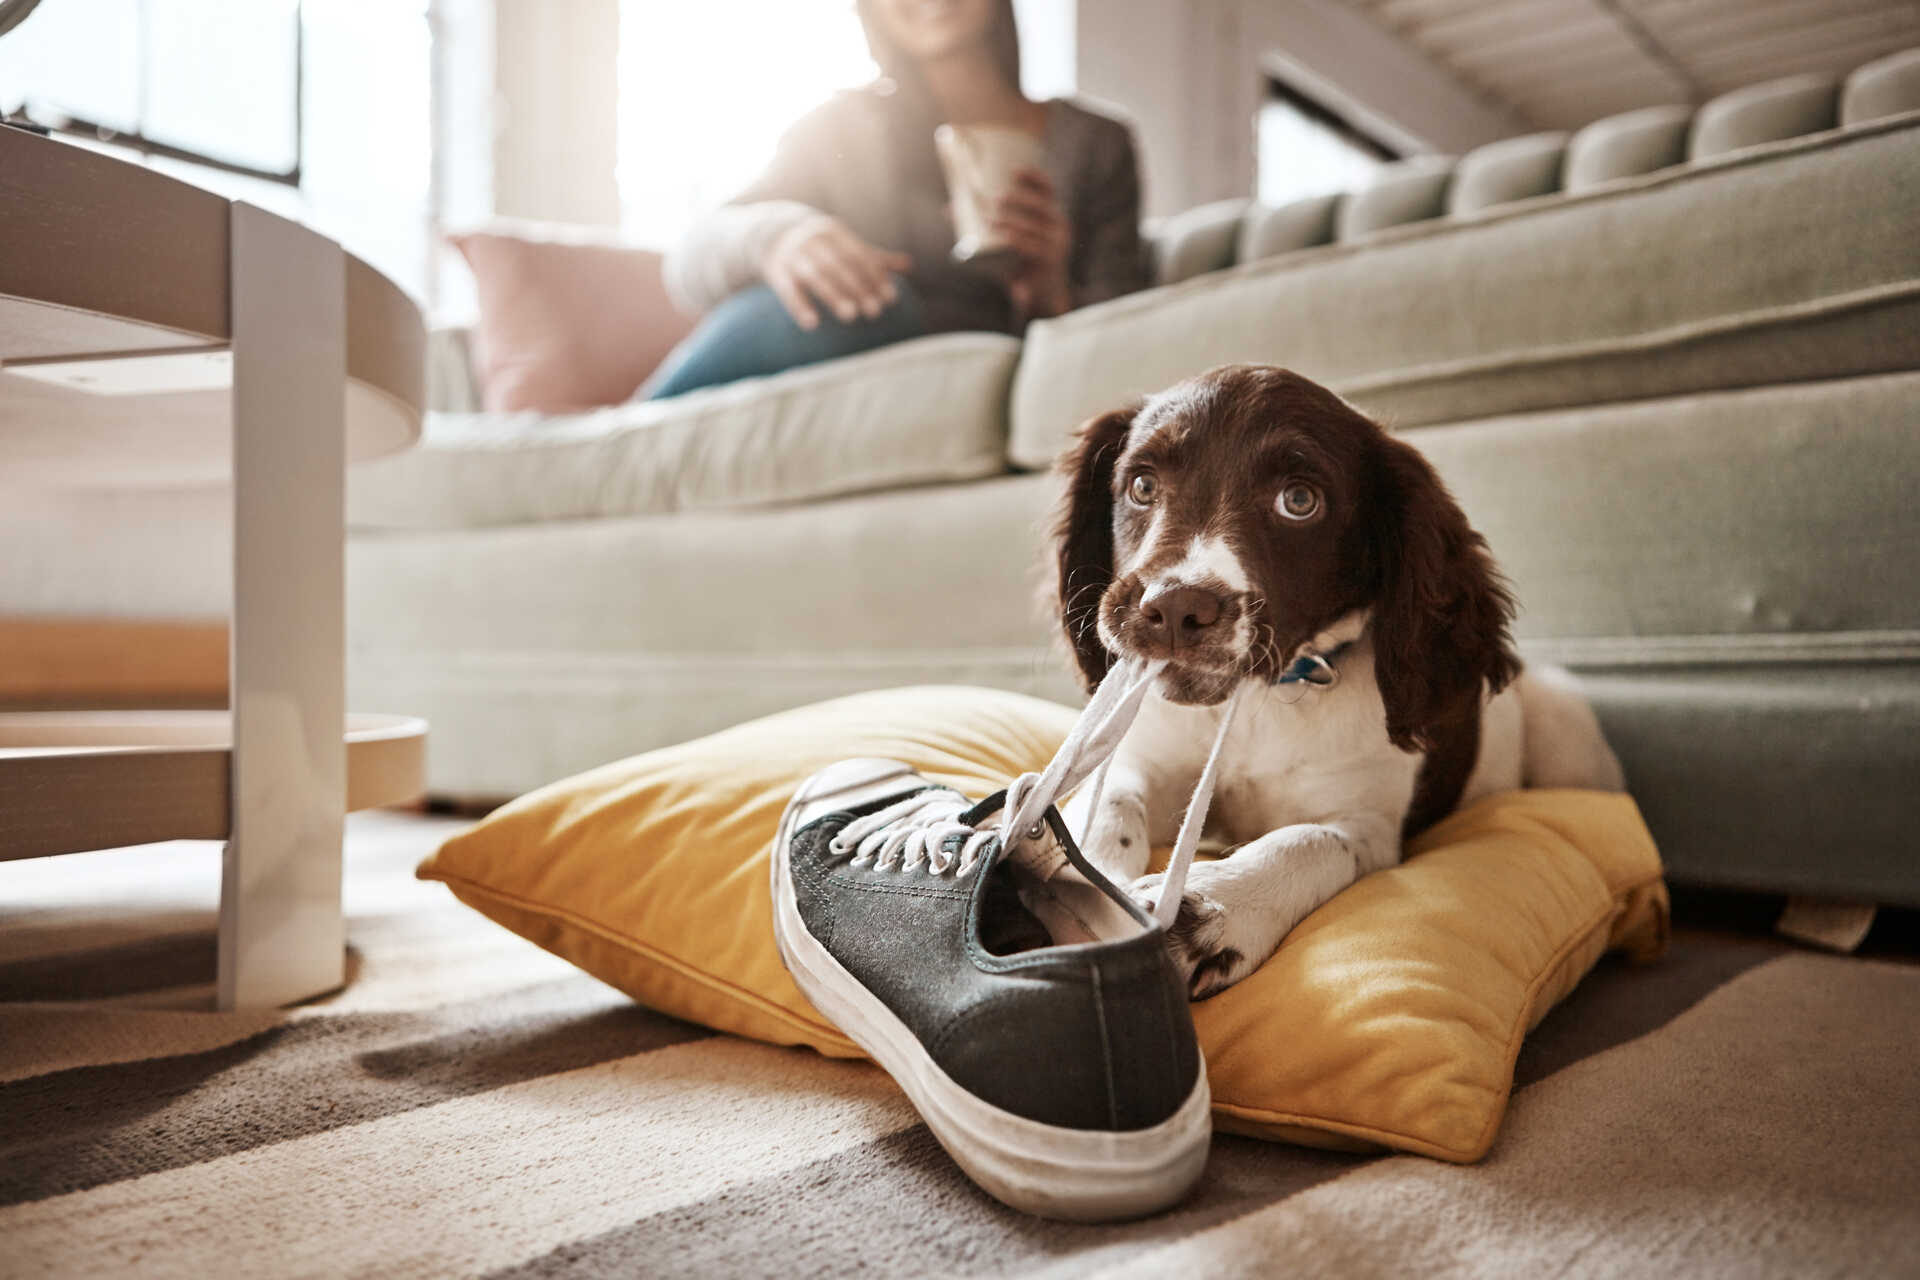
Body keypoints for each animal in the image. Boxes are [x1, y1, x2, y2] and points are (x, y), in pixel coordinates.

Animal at [1052, 364, 1620, 997]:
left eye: (1300, 500)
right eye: (1142, 486)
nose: (1174, 609)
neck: (1260, 703)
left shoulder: (1370, 828)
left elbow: (1307, 842)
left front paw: (1207, 911)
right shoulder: (1148, 758)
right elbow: (1108, 802)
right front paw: (1086, 877)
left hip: (1566, 725)